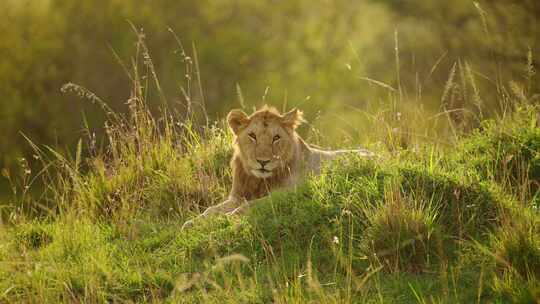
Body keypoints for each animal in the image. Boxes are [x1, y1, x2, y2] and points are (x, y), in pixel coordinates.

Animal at [181, 105, 372, 229]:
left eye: (276, 138)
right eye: (252, 136)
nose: (263, 161)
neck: (259, 181)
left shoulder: (286, 194)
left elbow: (250, 206)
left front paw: (227, 218)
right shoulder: (238, 196)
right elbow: (211, 210)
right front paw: (192, 223)